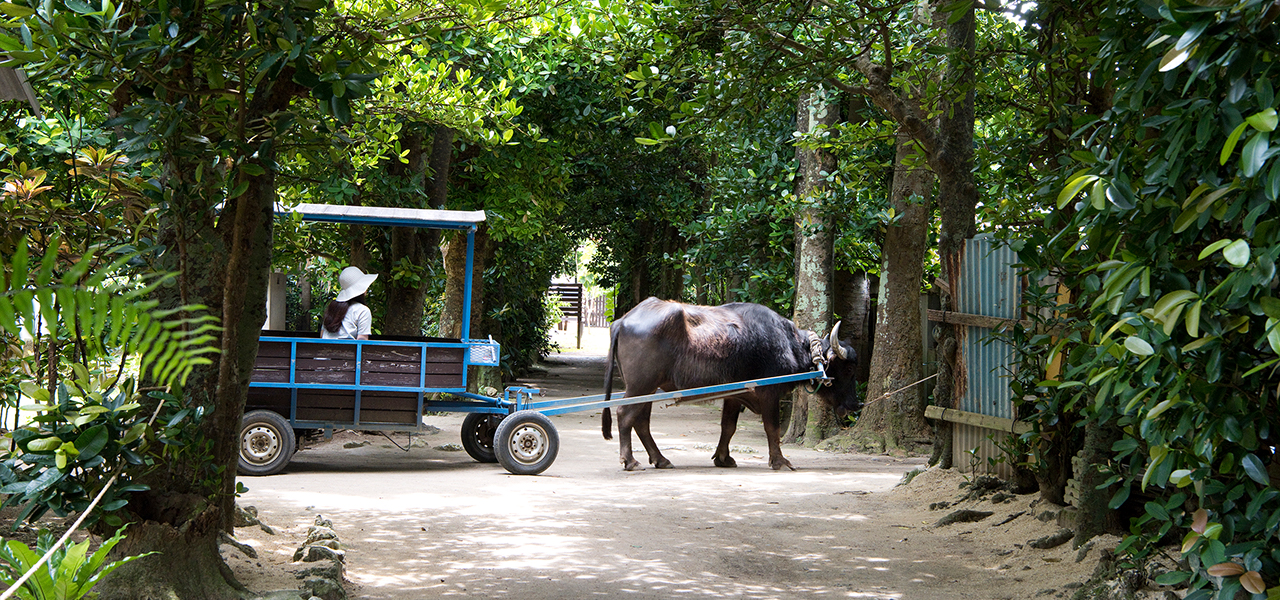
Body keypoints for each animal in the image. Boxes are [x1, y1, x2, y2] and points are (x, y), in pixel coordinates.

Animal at [601, 296, 860, 470]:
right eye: (848, 368)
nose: (854, 406)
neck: (789, 343)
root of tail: (622, 321)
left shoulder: (735, 395)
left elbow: (728, 427)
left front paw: (723, 458)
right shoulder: (768, 391)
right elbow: (772, 427)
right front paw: (780, 461)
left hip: (649, 388)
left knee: (641, 421)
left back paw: (661, 459)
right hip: (640, 386)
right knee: (625, 414)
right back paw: (630, 461)